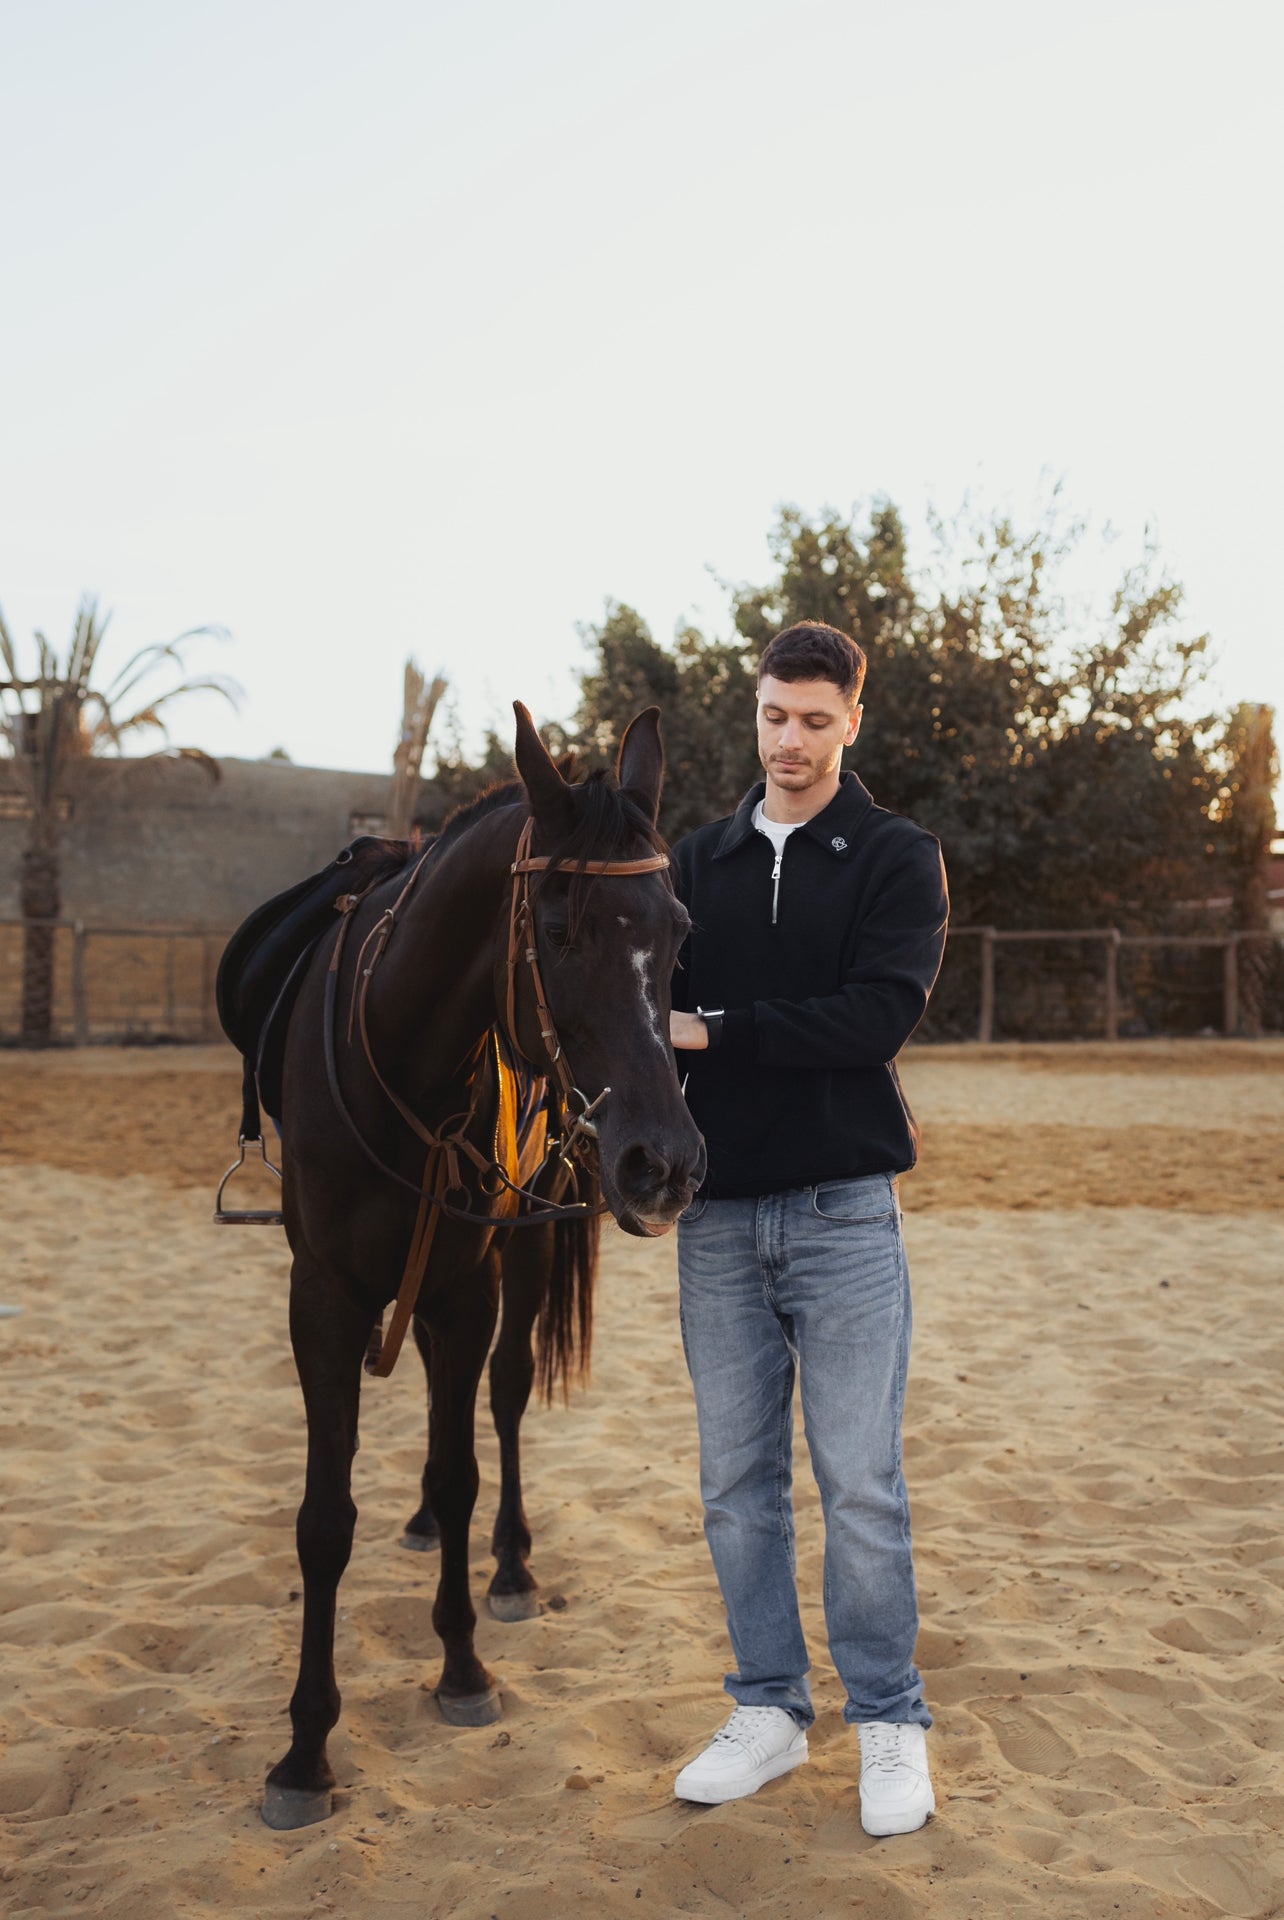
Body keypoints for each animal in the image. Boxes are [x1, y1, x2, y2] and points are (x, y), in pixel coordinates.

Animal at [261, 706, 702, 1827]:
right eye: (558, 926)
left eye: (679, 930)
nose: (665, 1163)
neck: (402, 1058)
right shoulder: (321, 1297)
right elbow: (323, 1519)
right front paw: (303, 1752)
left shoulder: (468, 1287)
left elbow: (464, 1466)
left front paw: (460, 1665)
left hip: (526, 1247)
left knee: (501, 1398)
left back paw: (509, 1567)